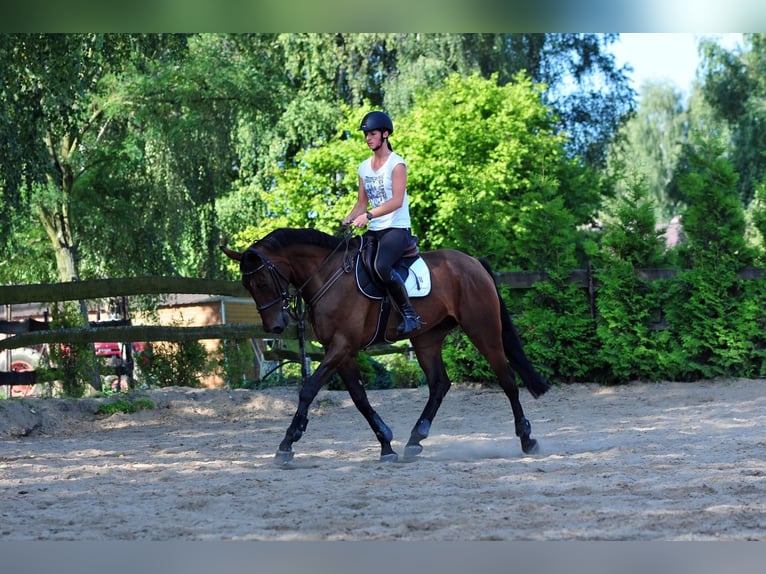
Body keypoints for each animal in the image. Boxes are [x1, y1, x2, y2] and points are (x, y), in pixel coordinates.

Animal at [222, 227, 552, 466]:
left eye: (263, 282)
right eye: (248, 286)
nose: (275, 327)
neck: (327, 276)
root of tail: (473, 263)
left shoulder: (341, 346)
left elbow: (309, 389)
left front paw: (288, 441)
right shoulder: (341, 351)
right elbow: (359, 398)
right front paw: (386, 444)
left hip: (482, 329)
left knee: (506, 379)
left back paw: (527, 439)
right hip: (427, 338)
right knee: (439, 384)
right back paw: (415, 440)